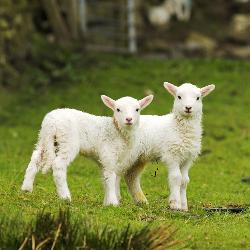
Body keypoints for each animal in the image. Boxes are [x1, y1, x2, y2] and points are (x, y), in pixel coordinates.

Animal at [21, 94, 153, 205]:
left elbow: (107, 178)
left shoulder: (106, 159)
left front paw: (107, 202)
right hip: (67, 140)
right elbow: (110, 176)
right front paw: (113, 203)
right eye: (118, 109)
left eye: (137, 109)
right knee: (58, 165)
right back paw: (65, 197)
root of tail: (51, 123)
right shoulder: (108, 153)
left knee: (36, 157)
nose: (129, 119)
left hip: (45, 138)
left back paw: (26, 188)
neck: (117, 130)